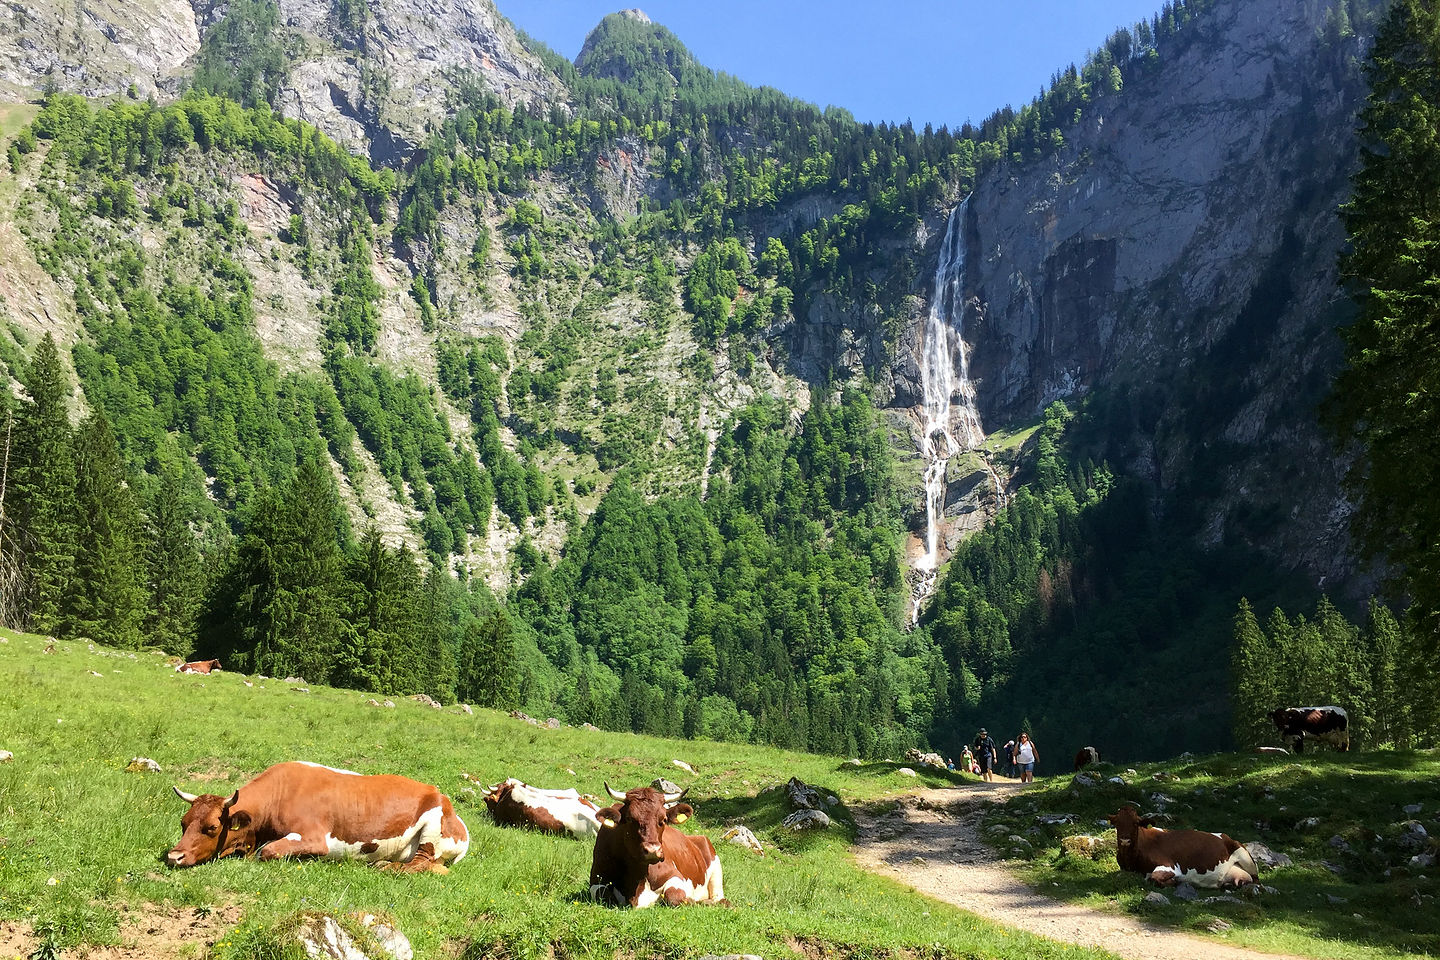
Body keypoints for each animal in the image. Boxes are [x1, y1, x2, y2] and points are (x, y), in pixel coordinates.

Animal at [168, 759, 469, 875]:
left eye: (212, 827)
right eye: (183, 823)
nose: (173, 856)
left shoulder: (315, 838)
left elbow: (267, 851)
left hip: (433, 828)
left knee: (423, 865)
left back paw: (385, 866)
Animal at [587, 782, 725, 909]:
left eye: (663, 819)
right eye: (630, 819)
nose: (653, 850)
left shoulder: (675, 875)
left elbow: (673, 895)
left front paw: (692, 900)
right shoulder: (596, 878)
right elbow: (603, 894)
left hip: (716, 870)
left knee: (719, 898)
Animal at [1105, 805, 1255, 892]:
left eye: (1135, 823)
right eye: (1117, 823)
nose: (1125, 840)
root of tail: (1226, 836)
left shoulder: (1169, 866)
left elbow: (1153, 878)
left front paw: (1175, 882)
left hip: (1246, 858)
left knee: (1256, 881)